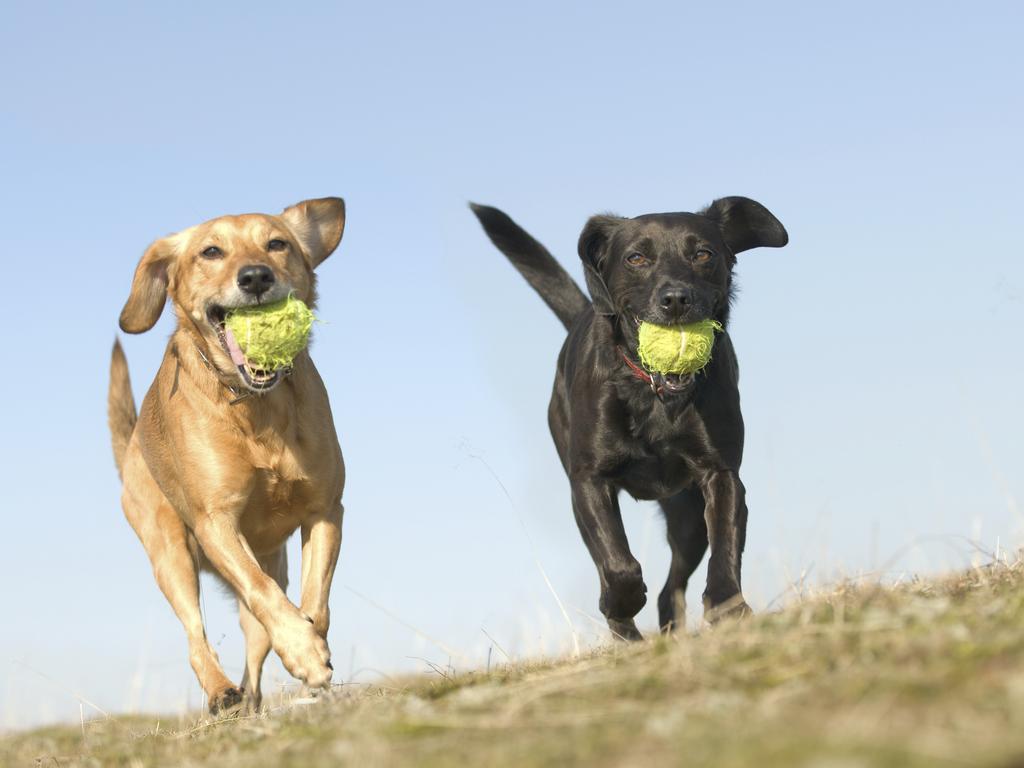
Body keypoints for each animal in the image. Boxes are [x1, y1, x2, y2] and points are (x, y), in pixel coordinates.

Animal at [107, 198, 348, 716]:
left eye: (277, 243)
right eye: (211, 251)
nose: (255, 277)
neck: (256, 406)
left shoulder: (325, 510)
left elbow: (315, 601)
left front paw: (310, 647)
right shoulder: (215, 523)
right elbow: (261, 591)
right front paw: (304, 649)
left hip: (265, 565)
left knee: (255, 651)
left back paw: (252, 701)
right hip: (170, 555)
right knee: (196, 639)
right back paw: (221, 693)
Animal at [468, 196, 786, 638]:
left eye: (703, 254)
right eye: (636, 257)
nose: (675, 298)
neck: (655, 394)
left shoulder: (721, 474)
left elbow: (725, 547)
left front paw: (728, 610)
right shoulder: (589, 481)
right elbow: (618, 565)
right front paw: (619, 606)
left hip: (688, 518)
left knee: (672, 587)